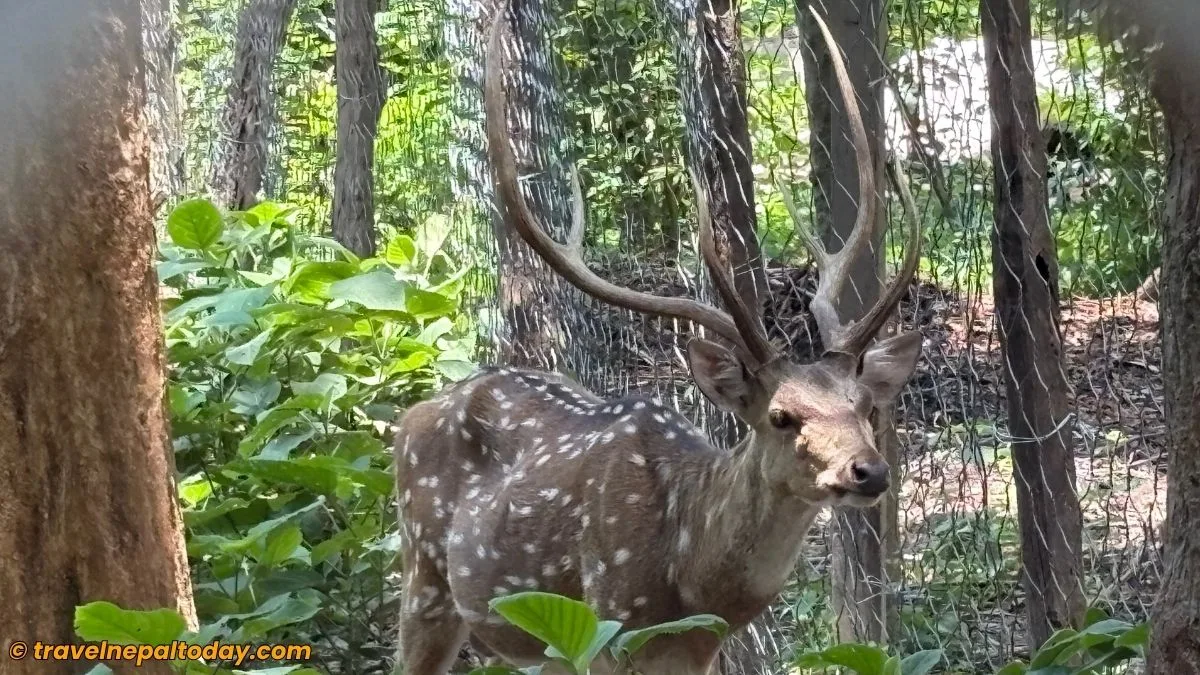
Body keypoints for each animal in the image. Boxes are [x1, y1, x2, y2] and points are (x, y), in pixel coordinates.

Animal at [392, 4, 923, 674]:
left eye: (864, 404)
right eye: (781, 415)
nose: (868, 471)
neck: (689, 579)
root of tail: (411, 415)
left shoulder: (693, 649)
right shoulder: (605, 630)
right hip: (425, 575)